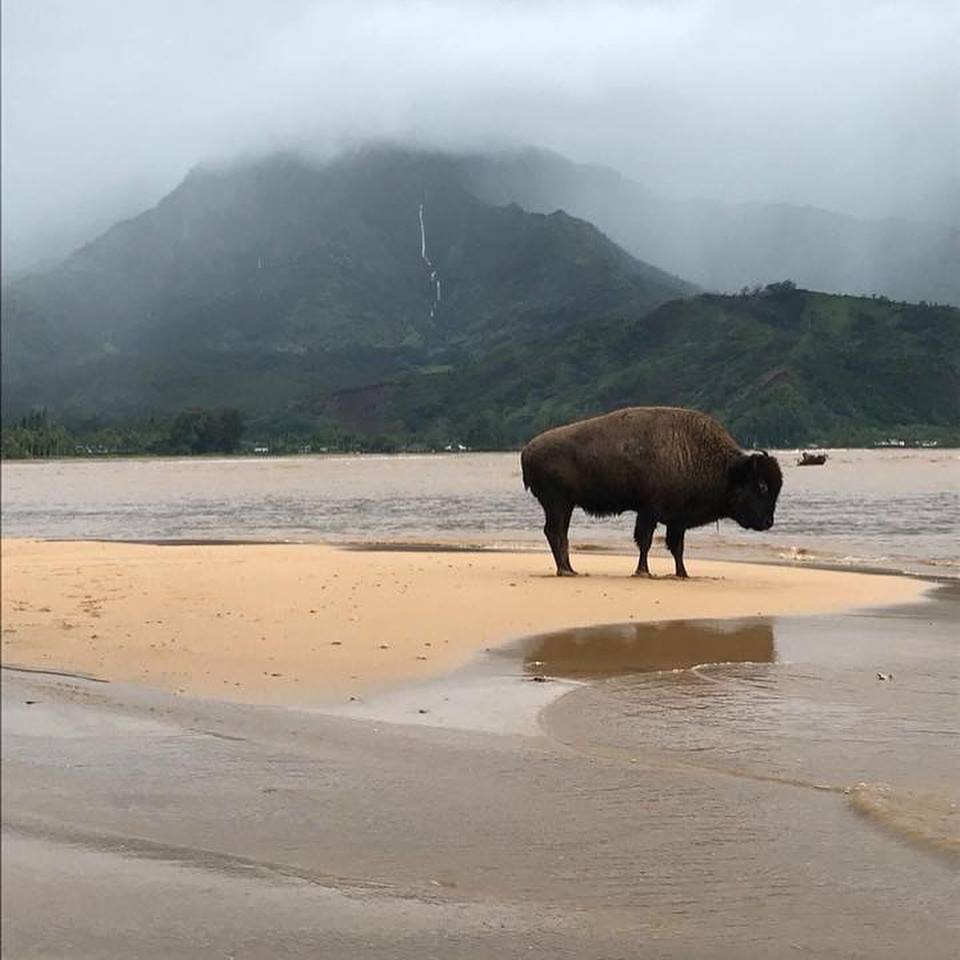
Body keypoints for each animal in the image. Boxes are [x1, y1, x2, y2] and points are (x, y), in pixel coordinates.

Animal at [521, 406, 782, 578]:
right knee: (555, 532)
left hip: (565, 505)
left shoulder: (677, 520)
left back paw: (570, 569)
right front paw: (643, 572)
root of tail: (526, 451)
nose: (768, 522)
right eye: (761, 486)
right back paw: (565, 570)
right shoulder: (649, 512)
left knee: (560, 534)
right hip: (557, 503)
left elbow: (676, 547)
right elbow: (645, 541)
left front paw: (682, 574)